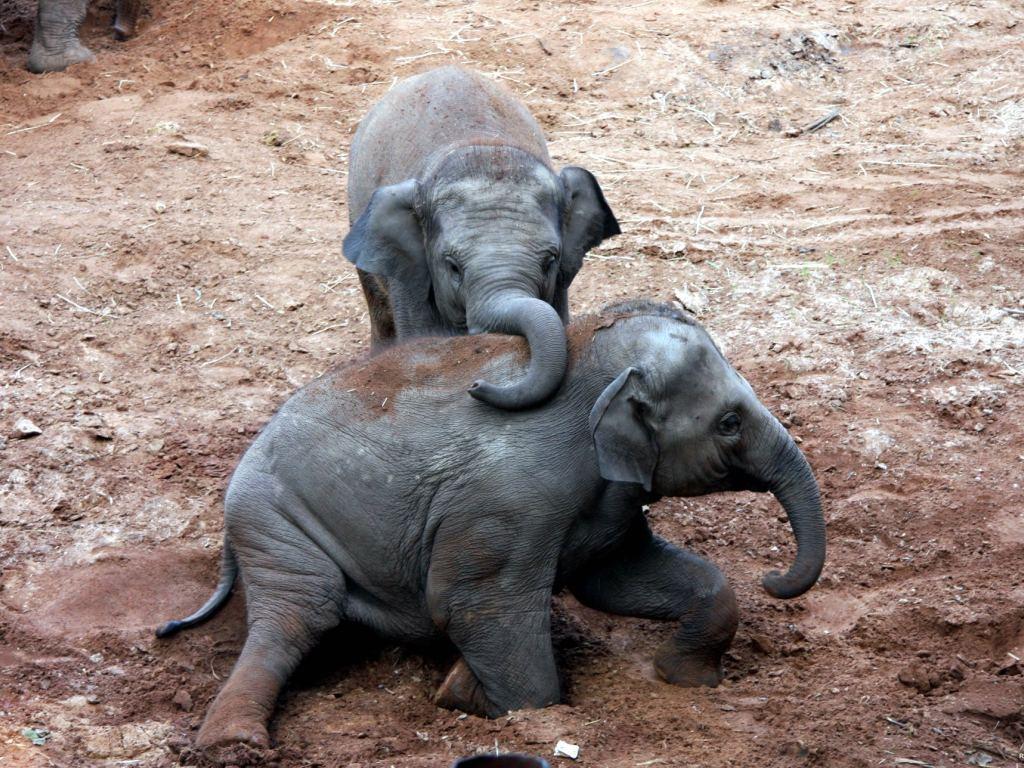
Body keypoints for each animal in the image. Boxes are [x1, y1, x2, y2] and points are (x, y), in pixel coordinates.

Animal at [156, 300, 826, 751]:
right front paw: (467, 697)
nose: (773, 578)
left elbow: (614, 576)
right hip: (275, 521)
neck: (586, 355)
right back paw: (234, 744)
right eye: (730, 424)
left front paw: (680, 678)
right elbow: (475, 603)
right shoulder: (509, 500)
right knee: (299, 613)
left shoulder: (606, 498)